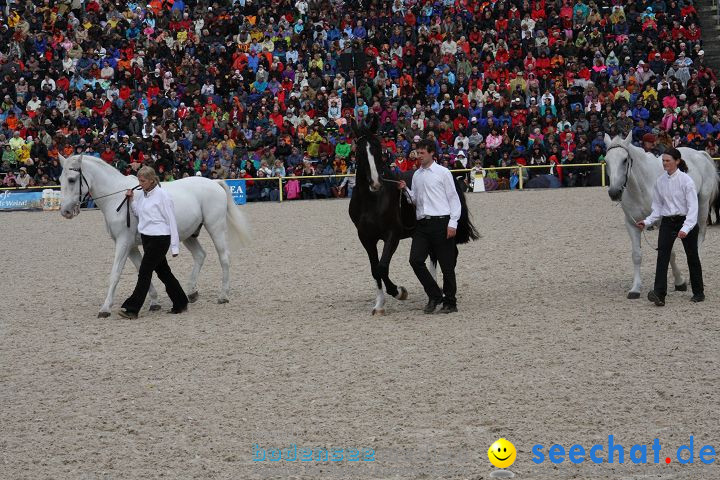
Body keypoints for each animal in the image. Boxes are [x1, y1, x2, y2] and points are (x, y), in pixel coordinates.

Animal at [55, 156, 250, 316]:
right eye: (60, 180)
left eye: (72, 179)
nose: (65, 211)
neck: (117, 198)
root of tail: (214, 182)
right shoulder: (131, 246)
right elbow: (142, 269)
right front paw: (154, 302)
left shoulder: (123, 243)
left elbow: (116, 273)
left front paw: (105, 308)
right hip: (188, 234)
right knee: (200, 255)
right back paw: (191, 293)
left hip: (215, 227)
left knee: (224, 258)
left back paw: (223, 296)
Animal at [348, 117, 478, 316]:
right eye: (360, 151)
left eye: (379, 149)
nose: (375, 183)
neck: (372, 200)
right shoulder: (366, 238)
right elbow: (375, 270)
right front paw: (379, 305)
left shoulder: (392, 236)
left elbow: (382, 267)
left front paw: (399, 292)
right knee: (434, 256)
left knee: (448, 256)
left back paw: (441, 294)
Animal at [604, 133, 716, 298]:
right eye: (606, 161)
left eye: (624, 160)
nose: (614, 192)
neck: (642, 187)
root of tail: (700, 153)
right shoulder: (632, 224)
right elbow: (636, 255)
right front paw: (635, 289)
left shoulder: (662, 222)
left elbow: (670, 253)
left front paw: (680, 282)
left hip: (702, 205)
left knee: (700, 235)